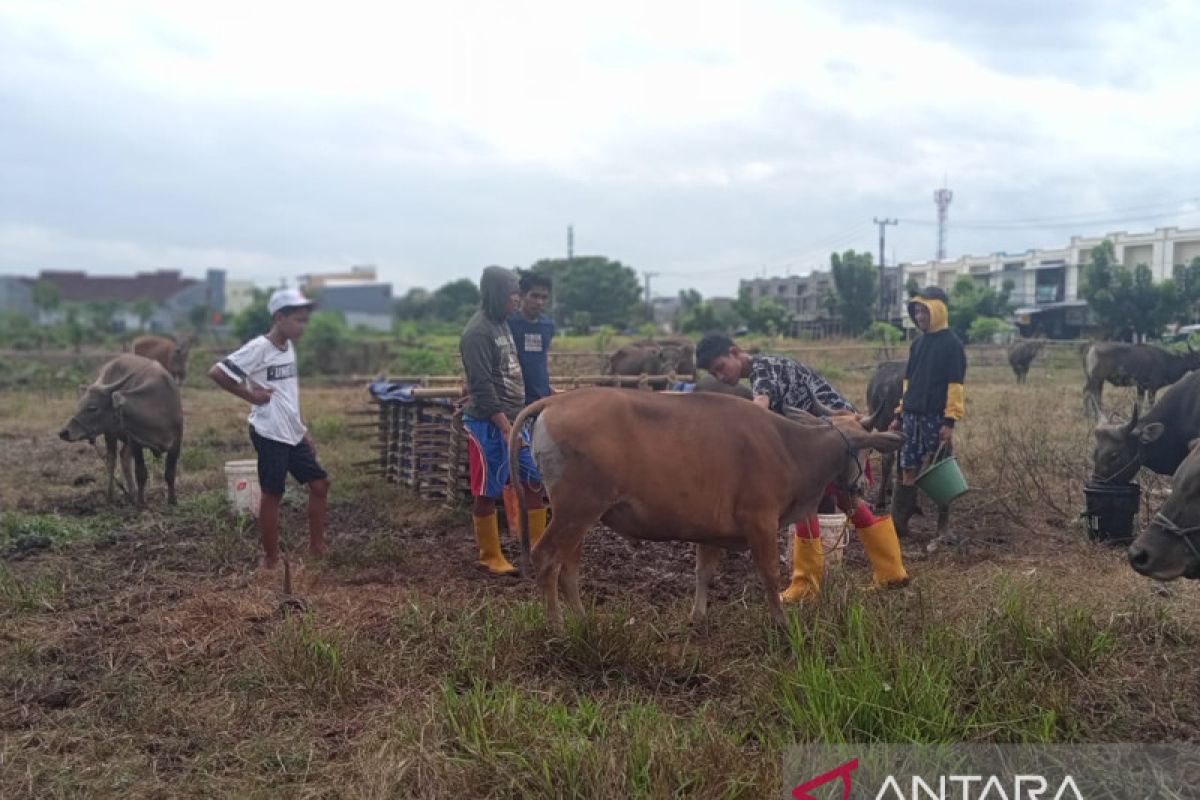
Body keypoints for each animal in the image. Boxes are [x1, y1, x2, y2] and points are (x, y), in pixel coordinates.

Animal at [506, 388, 902, 633]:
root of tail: (555, 401)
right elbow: (770, 574)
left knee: (568, 568)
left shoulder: (710, 532)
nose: (860, 489)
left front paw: (697, 617)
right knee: (546, 558)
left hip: (578, 515)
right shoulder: (761, 522)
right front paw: (781, 623)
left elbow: (703, 573)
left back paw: (583, 620)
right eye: (866, 449)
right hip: (576, 511)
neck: (790, 446)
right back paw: (557, 626)